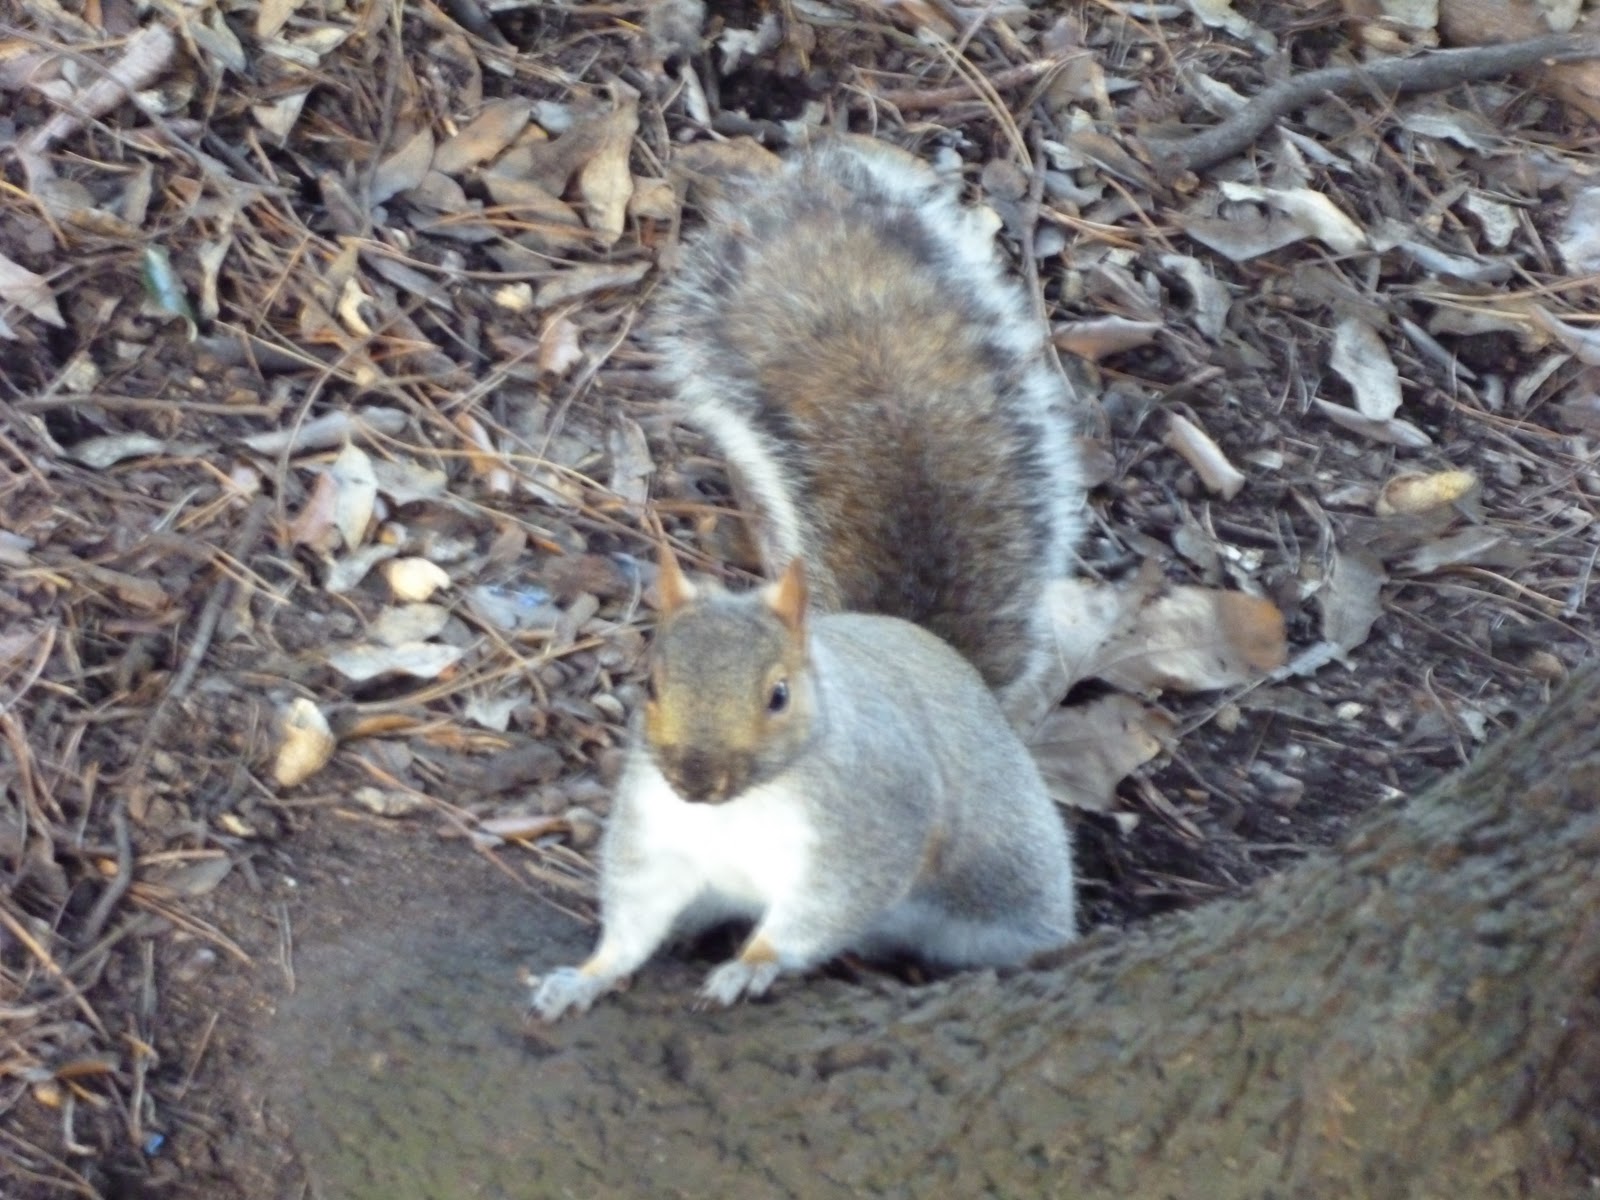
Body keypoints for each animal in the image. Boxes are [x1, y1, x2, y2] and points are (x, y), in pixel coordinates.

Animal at [530, 136, 1085, 1018]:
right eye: (650, 683)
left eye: (779, 695)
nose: (697, 780)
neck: (740, 809)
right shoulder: (657, 829)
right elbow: (637, 911)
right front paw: (587, 974)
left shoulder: (870, 822)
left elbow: (825, 907)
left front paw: (752, 964)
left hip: (1007, 872)